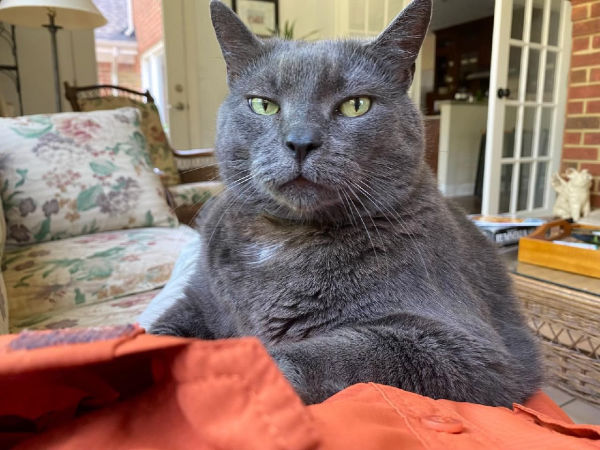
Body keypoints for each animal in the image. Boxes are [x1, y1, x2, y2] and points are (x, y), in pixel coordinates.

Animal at [149, 0, 542, 406]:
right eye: (263, 105)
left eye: (356, 105)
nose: (300, 141)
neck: (284, 238)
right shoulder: (198, 300)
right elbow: (156, 337)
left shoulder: (475, 351)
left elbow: (340, 351)